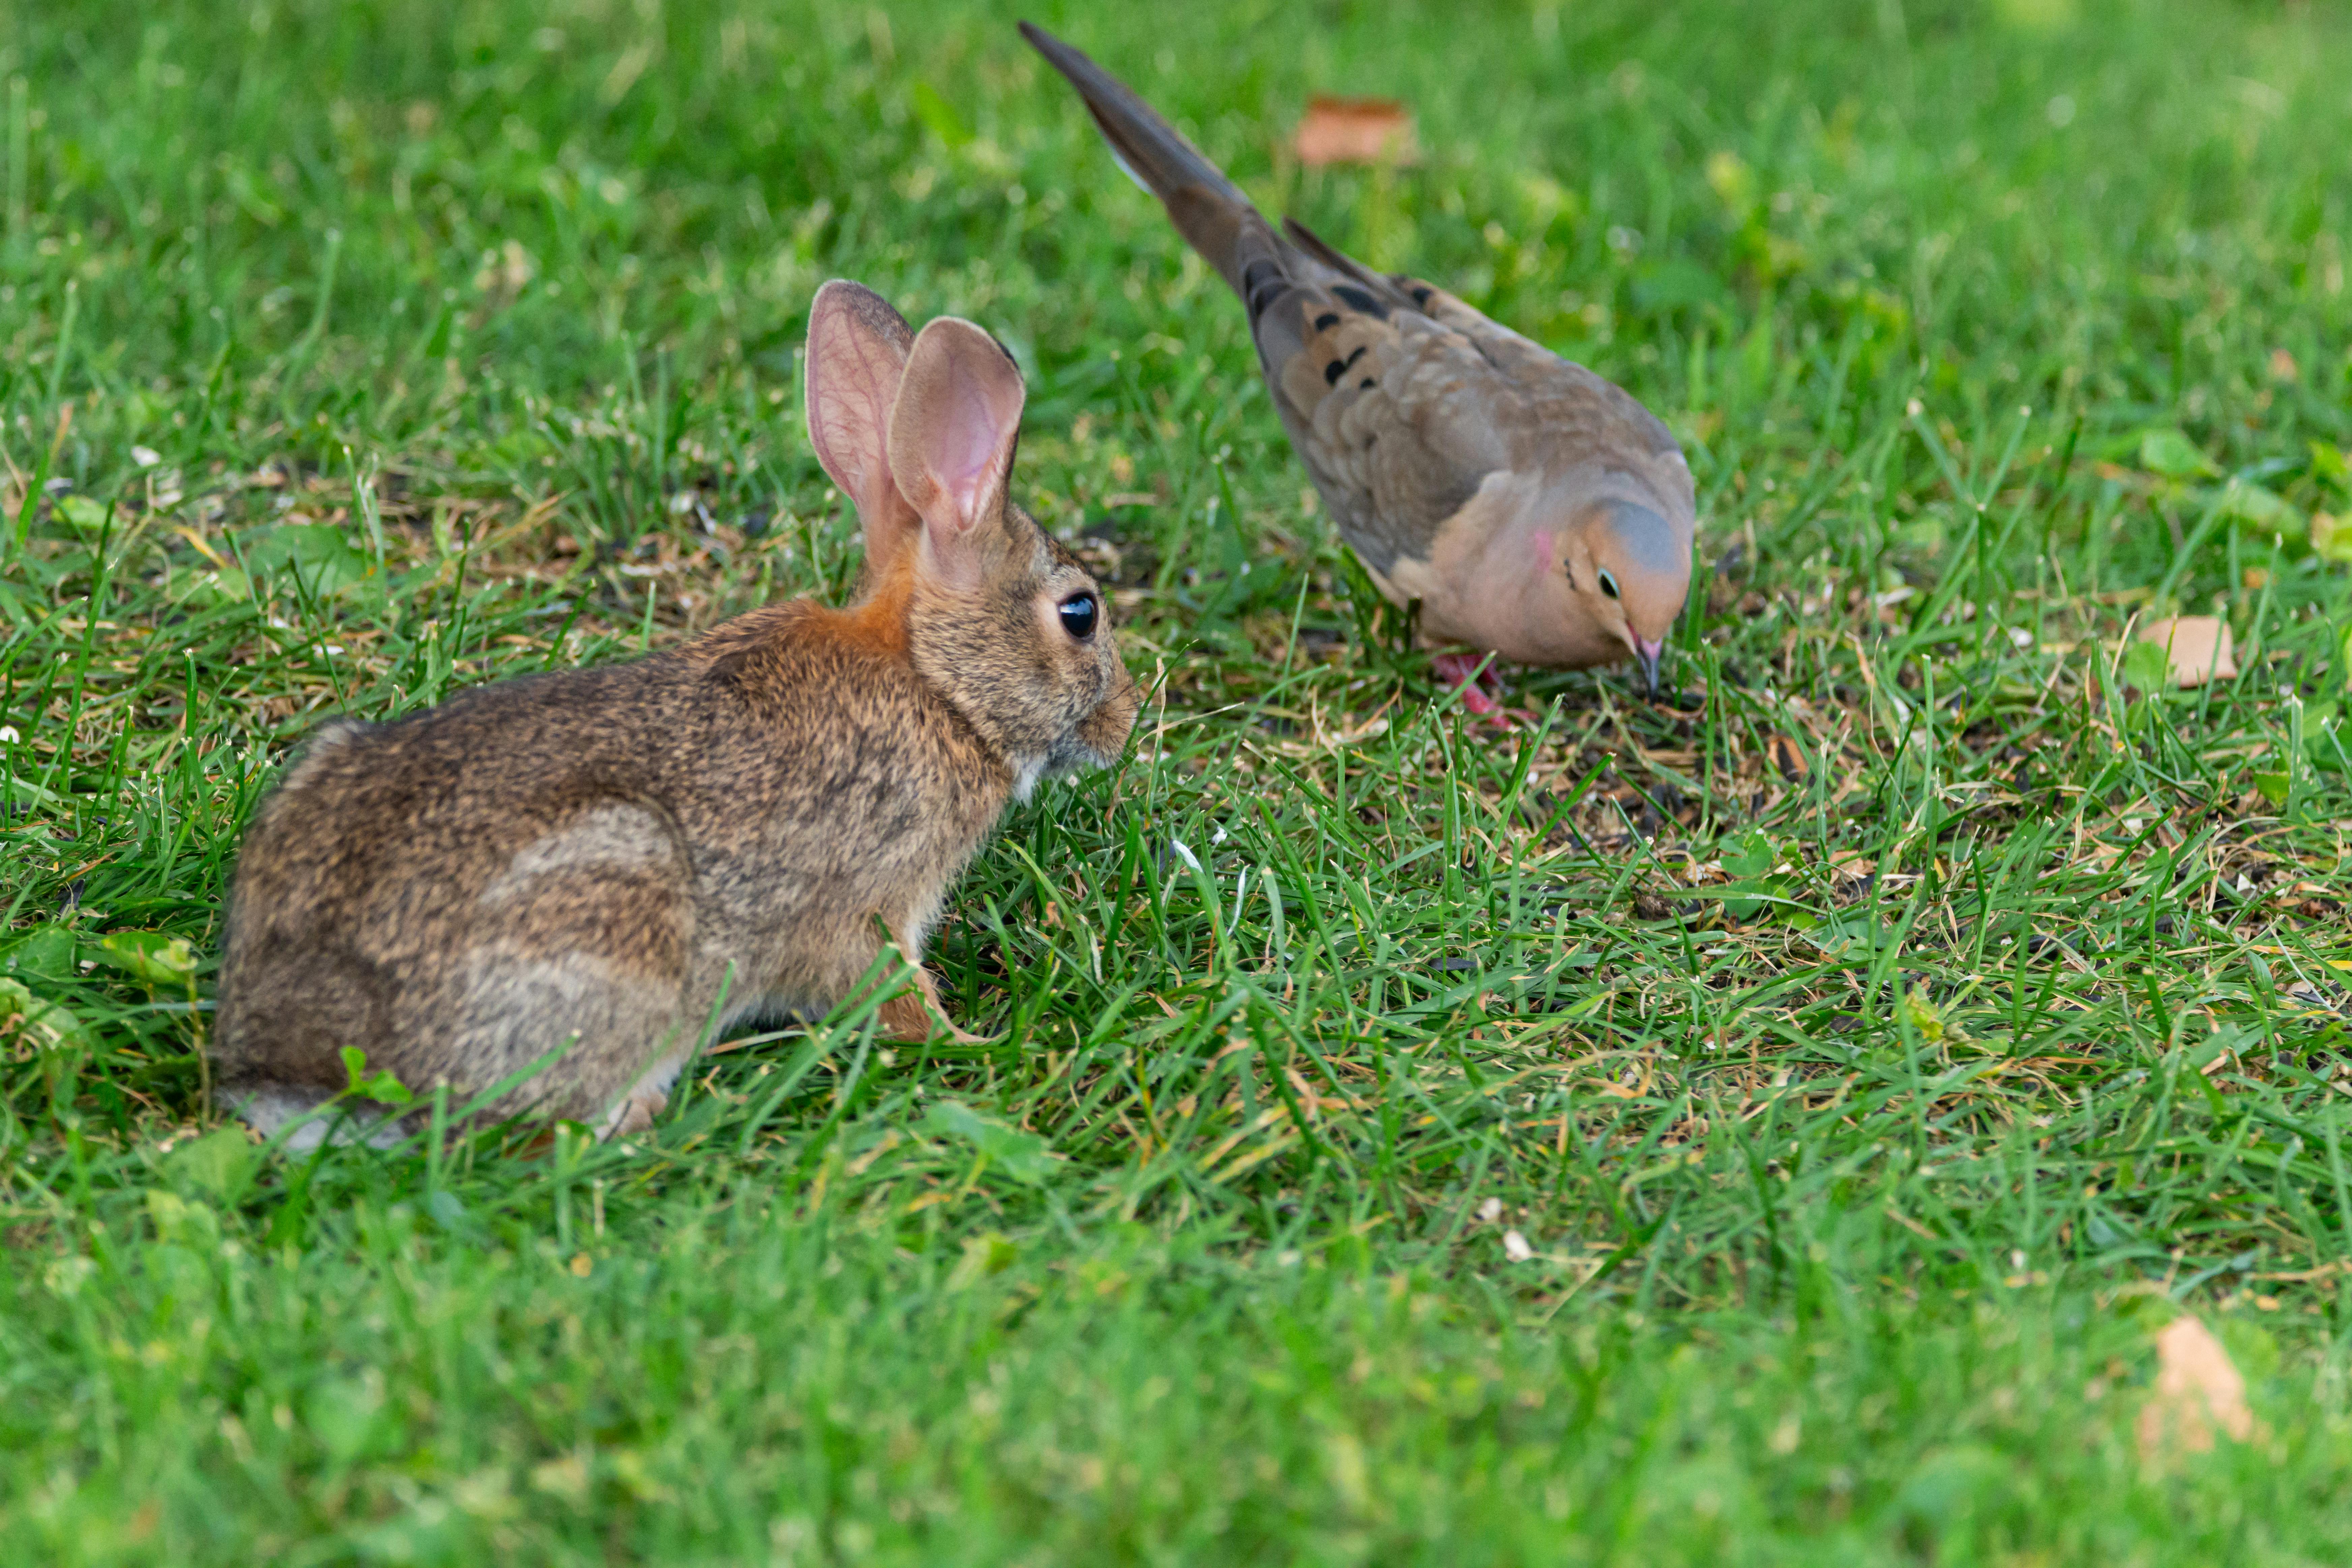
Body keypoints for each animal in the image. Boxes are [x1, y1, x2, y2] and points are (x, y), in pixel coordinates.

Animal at [213, 280, 1141, 1147]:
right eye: (1080, 613)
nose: (1124, 723)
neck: (935, 681)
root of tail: (294, 1068)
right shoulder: (870, 903)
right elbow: (888, 988)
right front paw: (972, 1045)